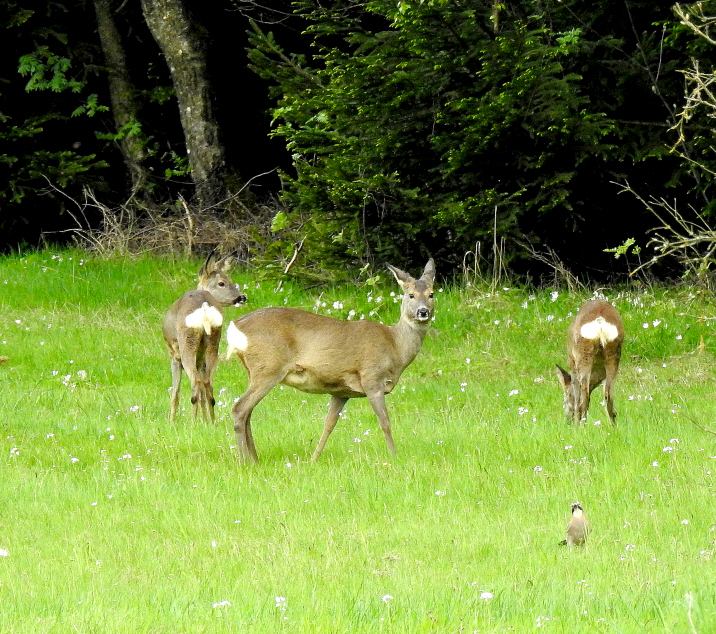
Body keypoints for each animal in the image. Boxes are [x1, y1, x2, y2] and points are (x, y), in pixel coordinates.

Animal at [164, 249, 248, 422]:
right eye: (222, 282)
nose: (242, 297)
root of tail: (204, 308)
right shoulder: (200, 357)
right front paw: (204, 419)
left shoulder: (173, 354)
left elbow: (175, 392)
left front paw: (171, 421)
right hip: (213, 339)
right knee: (208, 381)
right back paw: (212, 421)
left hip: (187, 342)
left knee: (195, 382)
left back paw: (192, 422)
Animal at [225, 260, 436, 462]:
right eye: (410, 295)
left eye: (431, 294)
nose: (423, 312)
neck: (394, 346)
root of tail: (235, 327)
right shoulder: (372, 378)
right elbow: (385, 421)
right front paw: (394, 456)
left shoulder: (341, 391)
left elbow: (329, 424)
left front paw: (314, 458)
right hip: (268, 367)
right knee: (239, 408)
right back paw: (244, 461)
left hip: (254, 369)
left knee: (248, 411)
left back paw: (254, 459)